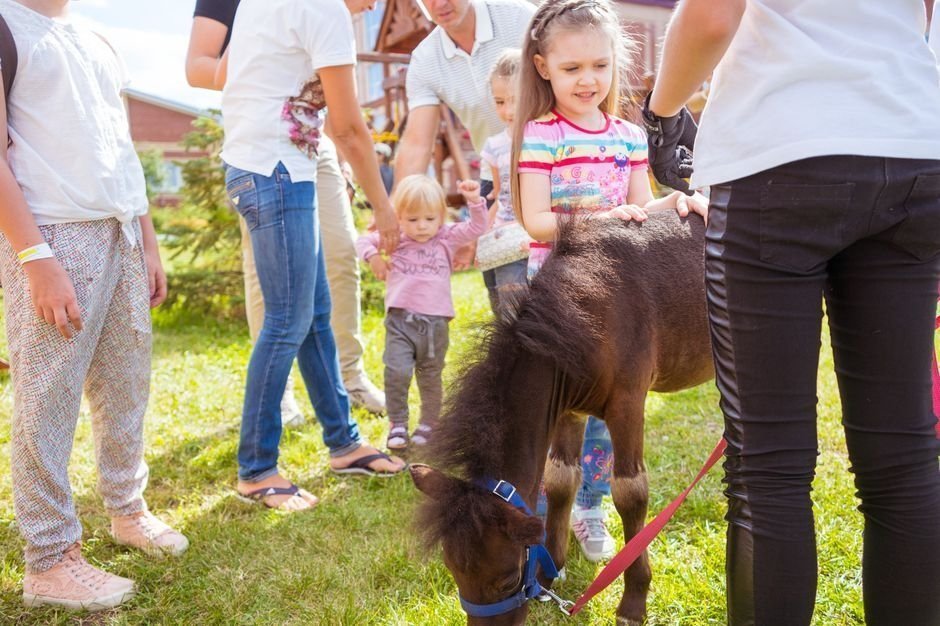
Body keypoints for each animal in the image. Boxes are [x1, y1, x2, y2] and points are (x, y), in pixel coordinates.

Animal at [410, 212, 712, 620]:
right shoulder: (568, 407)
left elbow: (630, 493)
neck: (585, 311)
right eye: (454, 572)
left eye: (507, 579)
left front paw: (633, 601)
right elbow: (559, 480)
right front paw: (548, 575)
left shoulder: (628, 402)